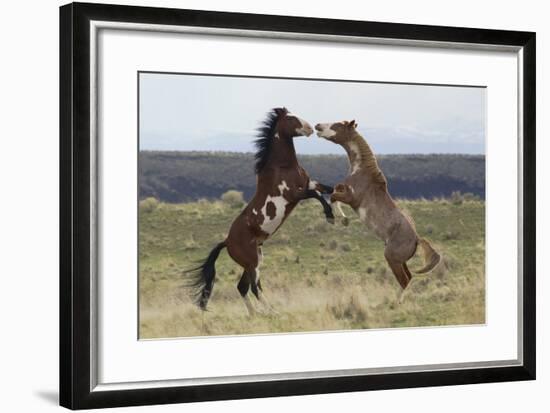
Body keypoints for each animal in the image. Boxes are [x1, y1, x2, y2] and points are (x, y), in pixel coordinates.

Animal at [190, 108, 334, 314]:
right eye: (291, 118)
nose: (310, 128)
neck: (283, 167)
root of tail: (227, 241)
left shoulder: (309, 184)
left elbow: (328, 189)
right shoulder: (296, 194)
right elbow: (318, 195)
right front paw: (330, 216)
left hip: (253, 261)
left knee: (242, 287)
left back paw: (254, 315)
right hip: (252, 263)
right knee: (254, 287)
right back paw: (272, 312)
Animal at [316, 119, 442, 300]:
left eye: (336, 125)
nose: (318, 126)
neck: (361, 170)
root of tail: (417, 239)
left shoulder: (352, 198)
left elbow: (333, 196)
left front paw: (342, 219)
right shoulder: (345, 189)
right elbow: (335, 189)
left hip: (391, 258)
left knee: (404, 280)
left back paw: (395, 302)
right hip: (400, 261)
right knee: (409, 277)